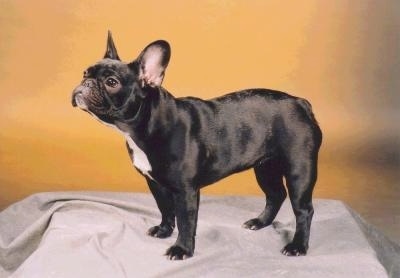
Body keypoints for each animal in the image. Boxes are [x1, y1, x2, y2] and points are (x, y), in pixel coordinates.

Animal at [71, 32, 322, 260]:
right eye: (85, 73)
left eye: (111, 82)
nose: (85, 83)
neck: (145, 126)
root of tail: (300, 103)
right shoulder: (156, 183)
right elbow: (165, 208)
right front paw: (164, 230)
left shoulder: (186, 190)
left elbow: (186, 220)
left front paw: (181, 249)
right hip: (265, 167)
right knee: (275, 194)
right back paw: (259, 222)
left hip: (299, 170)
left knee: (303, 209)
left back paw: (297, 246)